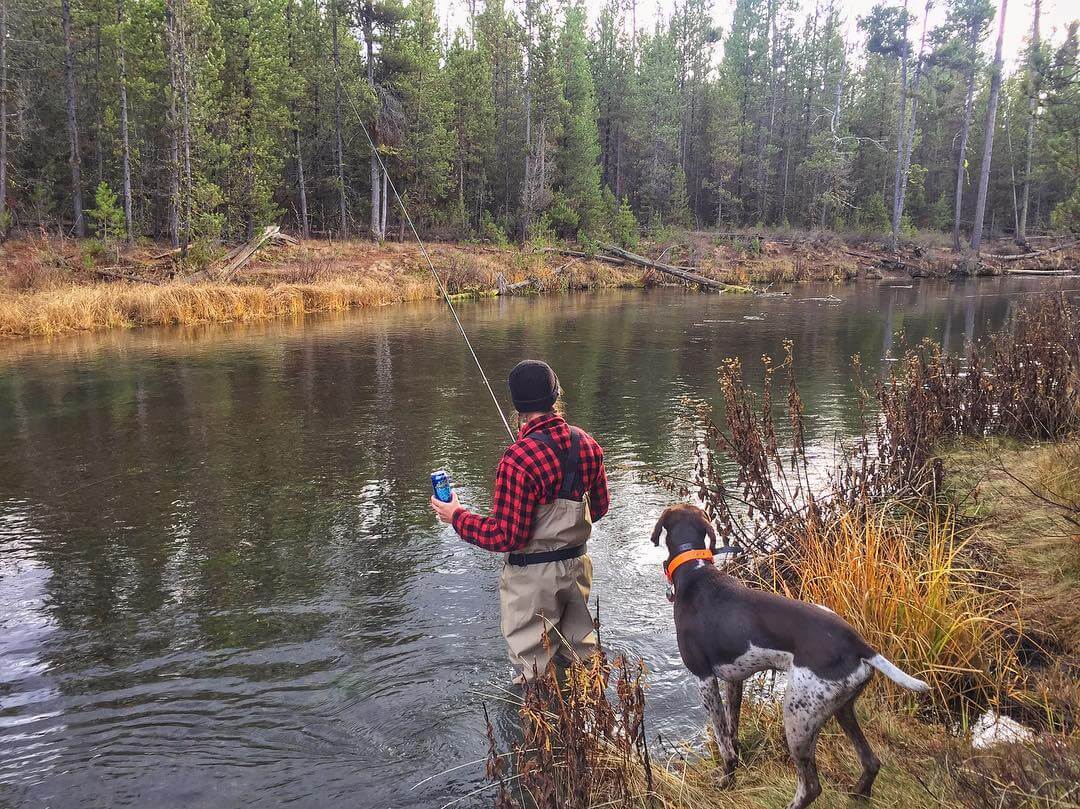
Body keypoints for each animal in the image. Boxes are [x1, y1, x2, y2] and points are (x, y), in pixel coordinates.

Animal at [648, 505, 928, 807]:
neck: (694, 570)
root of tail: (858, 643)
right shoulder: (735, 679)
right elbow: (733, 730)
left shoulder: (704, 680)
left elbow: (724, 742)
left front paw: (726, 779)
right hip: (842, 708)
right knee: (871, 761)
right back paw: (858, 795)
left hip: (798, 718)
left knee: (811, 787)